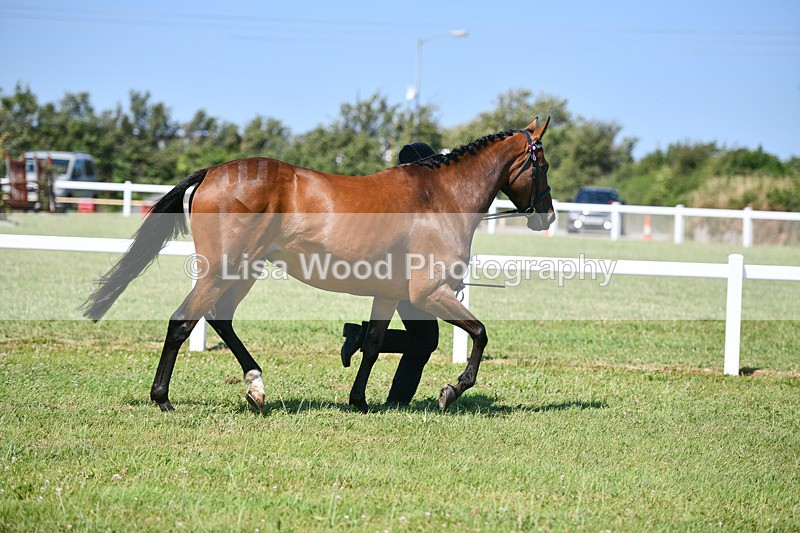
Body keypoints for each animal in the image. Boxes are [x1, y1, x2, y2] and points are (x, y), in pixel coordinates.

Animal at [82, 117, 554, 413]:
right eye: (543, 164)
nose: (546, 215)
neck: (439, 198)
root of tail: (213, 171)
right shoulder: (428, 293)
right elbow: (480, 333)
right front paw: (451, 390)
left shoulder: (389, 294)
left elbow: (373, 343)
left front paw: (359, 400)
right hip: (222, 270)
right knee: (182, 323)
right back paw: (163, 398)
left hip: (242, 271)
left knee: (219, 319)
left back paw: (256, 387)